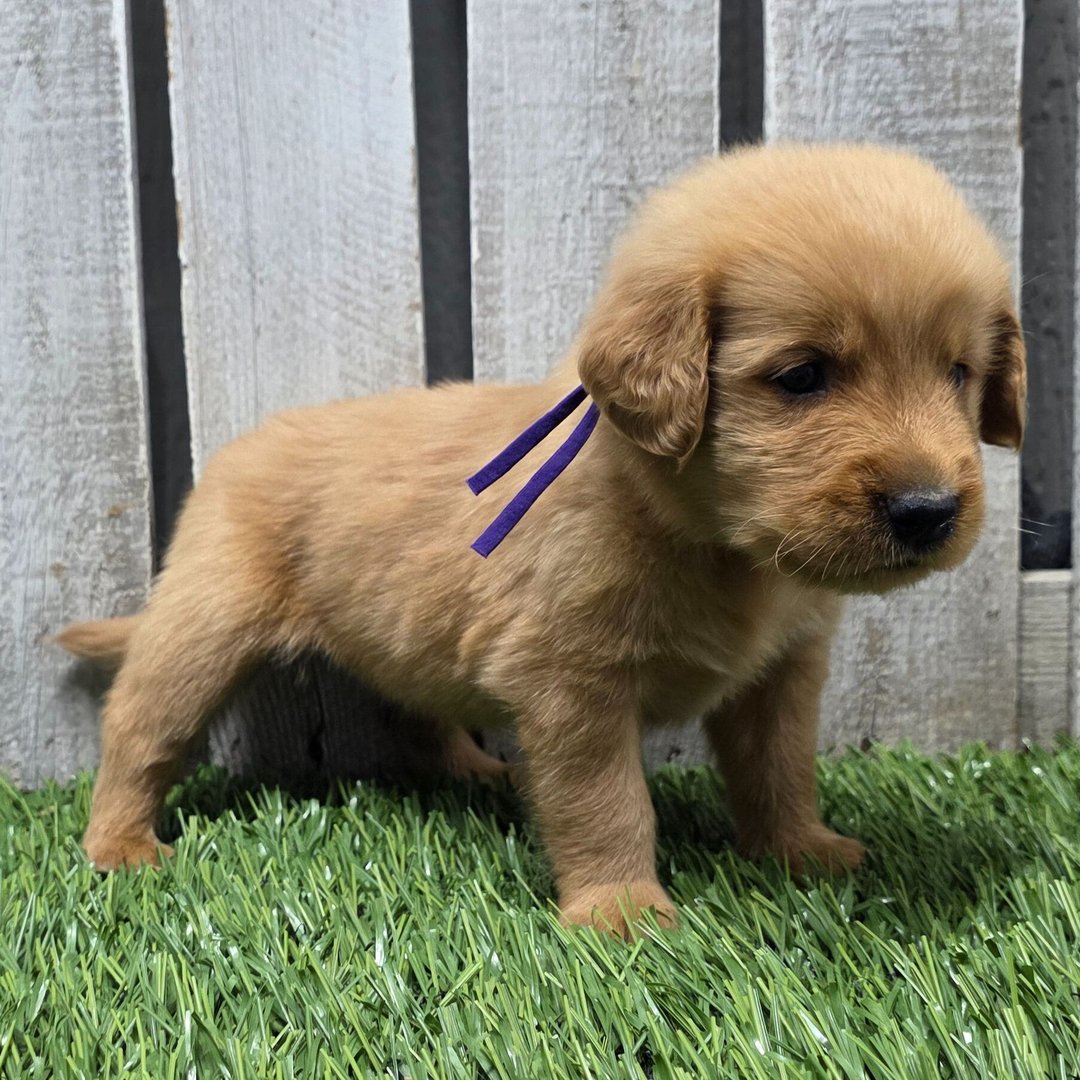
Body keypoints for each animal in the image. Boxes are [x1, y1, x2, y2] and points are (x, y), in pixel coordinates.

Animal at [57, 144, 1025, 937]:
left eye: (958, 372)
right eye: (801, 377)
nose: (930, 509)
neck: (711, 542)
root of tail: (236, 447)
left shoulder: (782, 674)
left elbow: (780, 768)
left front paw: (799, 849)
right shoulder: (573, 684)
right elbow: (607, 802)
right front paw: (621, 911)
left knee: (415, 707)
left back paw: (473, 770)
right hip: (203, 628)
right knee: (138, 728)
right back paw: (118, 845)